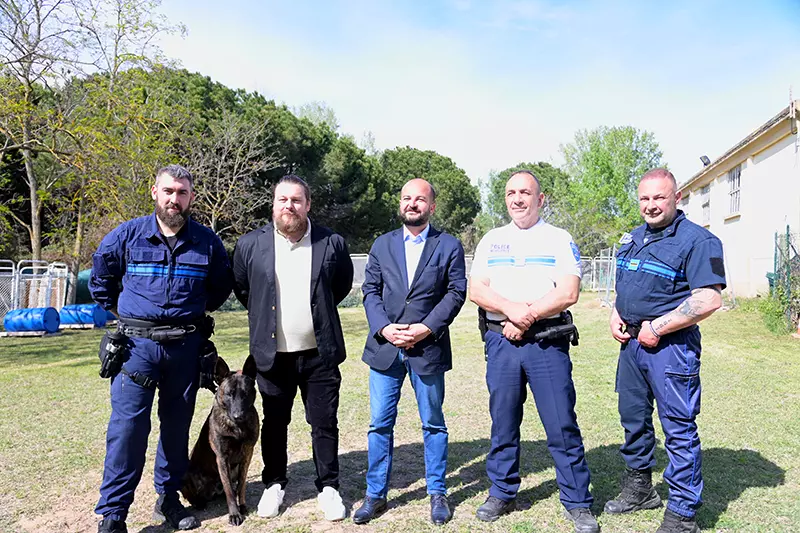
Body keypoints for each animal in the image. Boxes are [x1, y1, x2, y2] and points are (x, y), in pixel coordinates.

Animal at [181, 356, 260, 524]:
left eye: (245, 393)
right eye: (229, 394)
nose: (238, 416)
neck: (237, 427)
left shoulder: (247, 455)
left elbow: (241, 485)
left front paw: (242, 506)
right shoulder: (222, 458)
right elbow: (229, 490)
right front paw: (234, 514)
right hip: (184, 473)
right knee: (192, 496)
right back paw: (199, 502)